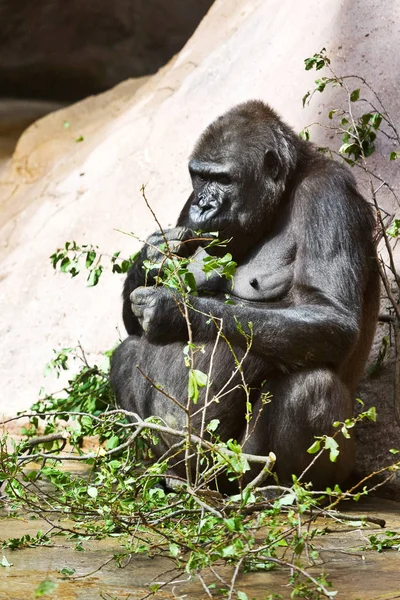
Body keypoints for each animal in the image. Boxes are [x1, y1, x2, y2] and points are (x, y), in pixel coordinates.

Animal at [111, 99, 380, 492]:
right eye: (200, 177)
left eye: (224, 180)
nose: (204, 206)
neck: (284, 190)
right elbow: (132, 322)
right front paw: (154, 253)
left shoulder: (329, 195)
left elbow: (330, 314)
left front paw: (172, 310)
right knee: (127, 351)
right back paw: (169, 476)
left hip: (237, 465)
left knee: (310, 384)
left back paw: (284, 489)